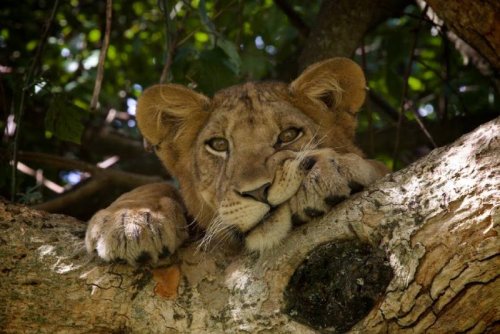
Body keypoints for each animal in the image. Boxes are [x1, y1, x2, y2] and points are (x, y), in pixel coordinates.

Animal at [84, 58, 386, 266]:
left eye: (289, 135)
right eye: (219, 145)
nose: (257, 192)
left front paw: (328, 171)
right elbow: (157, 186)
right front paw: (129, 222)